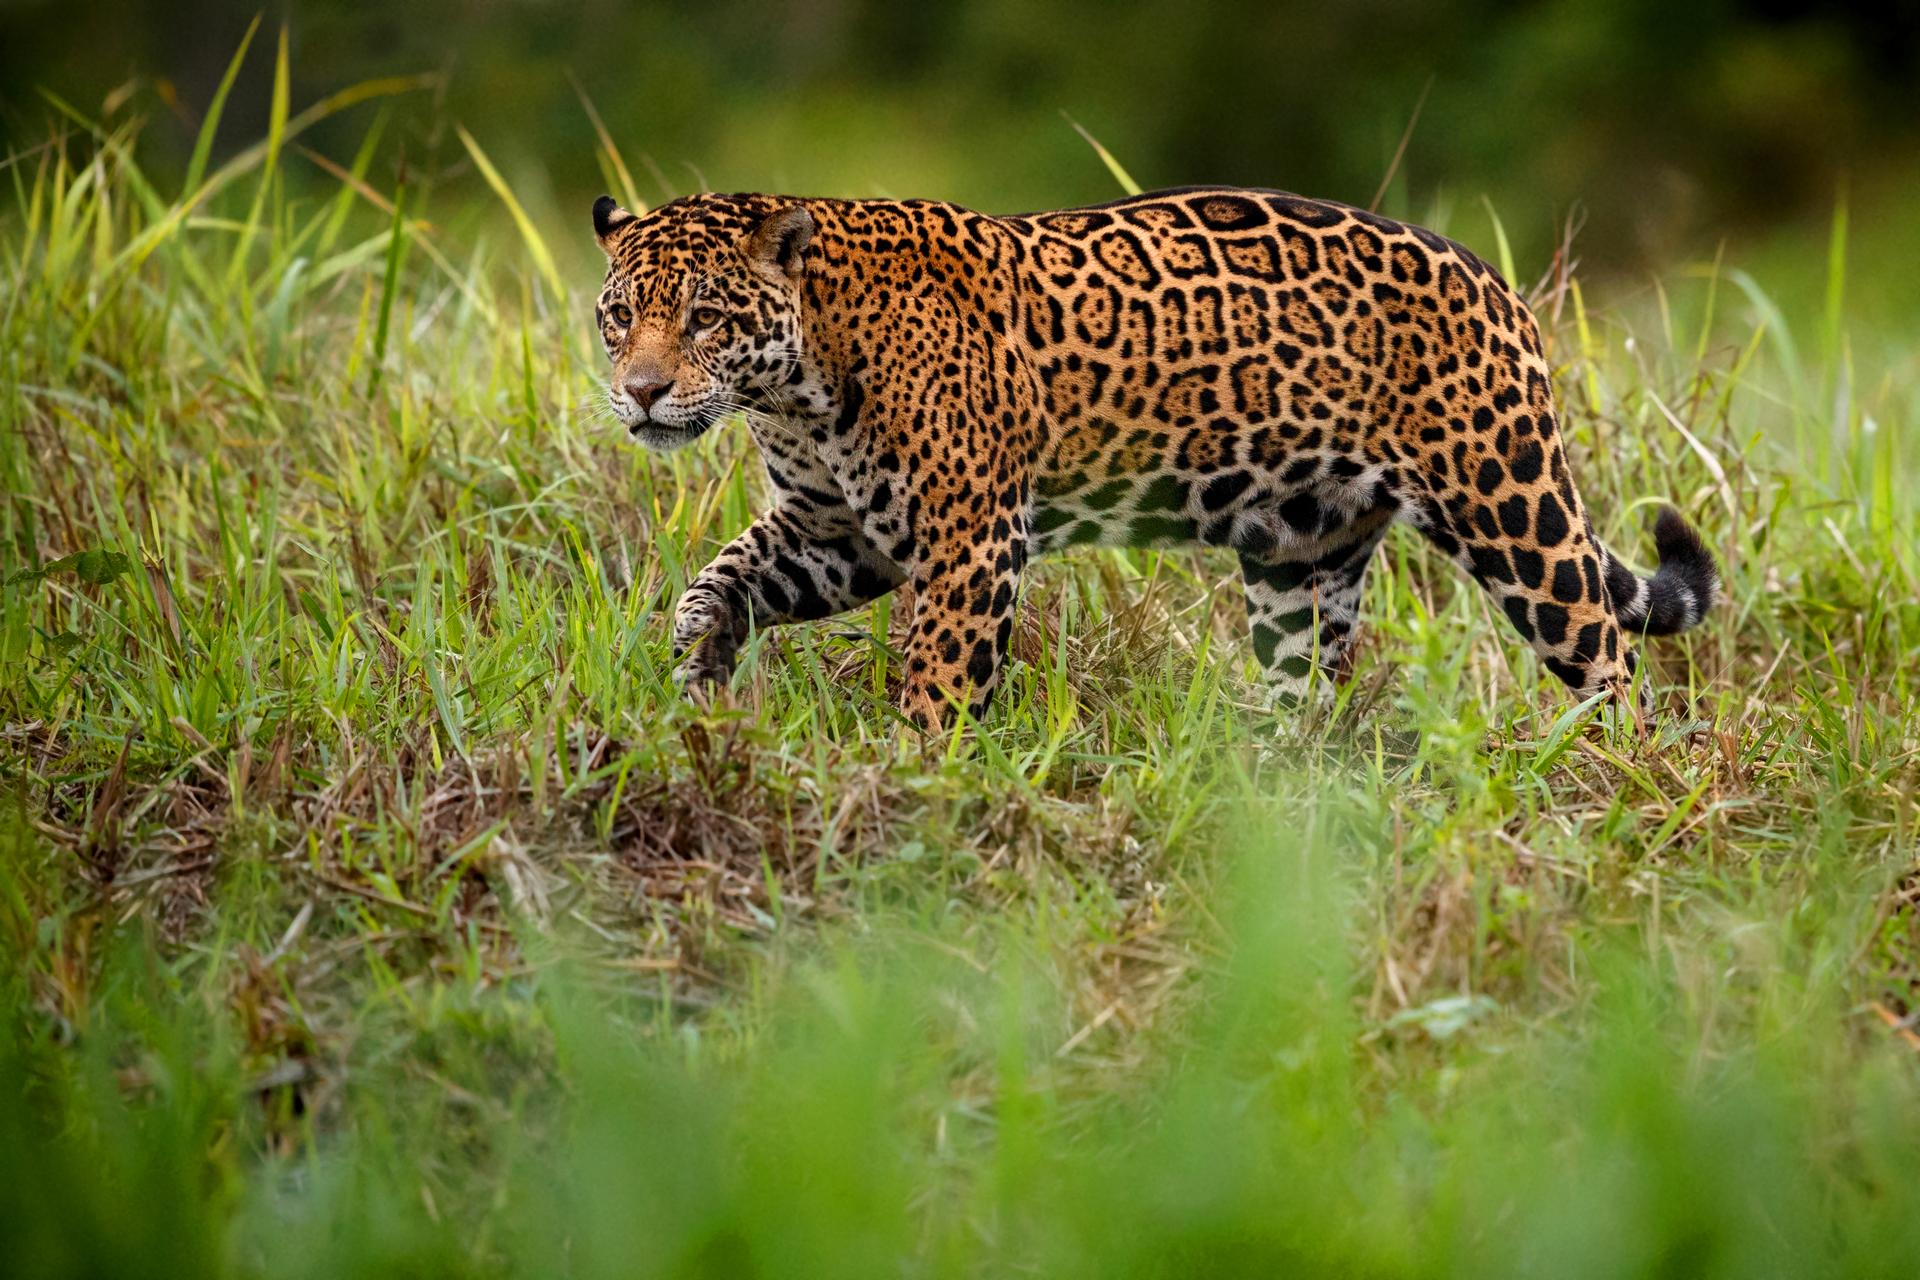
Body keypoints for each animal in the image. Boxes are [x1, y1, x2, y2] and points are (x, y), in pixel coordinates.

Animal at [588, 186, 1718, 730]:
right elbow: (724, 575)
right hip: (1301, 554)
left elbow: (941, 681)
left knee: (1611, 665)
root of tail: (1500, 284)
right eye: (618, 316)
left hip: (1513, 510)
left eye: (705, 317)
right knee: (1305, 688)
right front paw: (698, 667)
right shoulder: (834, 531)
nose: (641, 393)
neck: (796, 385)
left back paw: (1623, 789)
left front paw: (911, 782)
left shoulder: (968, 539)